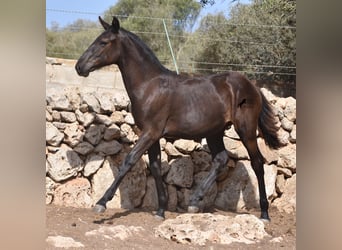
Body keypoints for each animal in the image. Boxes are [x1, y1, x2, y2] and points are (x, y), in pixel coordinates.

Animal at [75, 16, 280, 221]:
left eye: (103, 42)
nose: (79, 67)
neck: (150, 86)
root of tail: (252, 86)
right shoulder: (153, 134)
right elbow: (155, 167)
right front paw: (160, 210)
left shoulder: (151, 132)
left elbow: (129, 160)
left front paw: (101, 203)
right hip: (214, 132)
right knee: (221, 160)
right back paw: (194, 202)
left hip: (246, 129)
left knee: (257, 163)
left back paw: (264, 213)